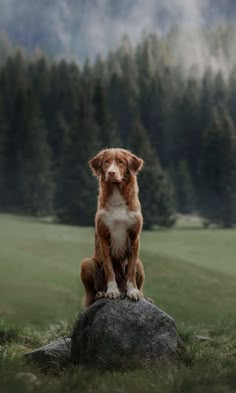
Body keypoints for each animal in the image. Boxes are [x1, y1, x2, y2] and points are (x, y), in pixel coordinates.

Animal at [80, 147, 145, 306]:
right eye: (106, 162)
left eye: (121, 162)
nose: (111, 173)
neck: (117, 193)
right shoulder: (104, 237)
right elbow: (109, 267)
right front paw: (112, 291)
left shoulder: (134, 237)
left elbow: (131, 268)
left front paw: (133, 291)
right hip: (86, 263)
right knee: (91, 293)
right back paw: (101, 293)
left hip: (140, 264)